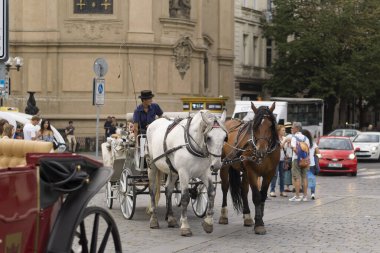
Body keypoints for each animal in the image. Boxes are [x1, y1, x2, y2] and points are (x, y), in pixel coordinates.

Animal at [220, 102, 280, 234]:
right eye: (255, 126)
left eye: (271, 125)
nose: (261, 150)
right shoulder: (253, 172)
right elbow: (257, 197)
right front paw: (259, 224)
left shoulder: (269, 173)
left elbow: (263, 196)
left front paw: (259, 218)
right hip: (224, 165)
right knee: (225, 188)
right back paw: (223, 215)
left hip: (245, 171)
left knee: (243, 191)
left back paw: (247, 216)